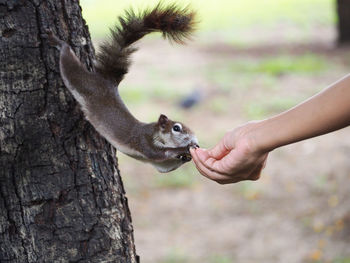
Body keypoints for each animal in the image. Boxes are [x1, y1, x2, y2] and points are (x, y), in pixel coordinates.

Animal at [46, 3, 198, 175]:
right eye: (176, 128)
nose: (194, 138)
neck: (156, 132)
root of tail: (106, 82)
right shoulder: (145, 141)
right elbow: (160, 153)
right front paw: (185, 148)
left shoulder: (161, 164)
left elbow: (165, 167)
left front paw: (187, 156)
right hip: (81, 82)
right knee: (69, 64)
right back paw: (58, 42)